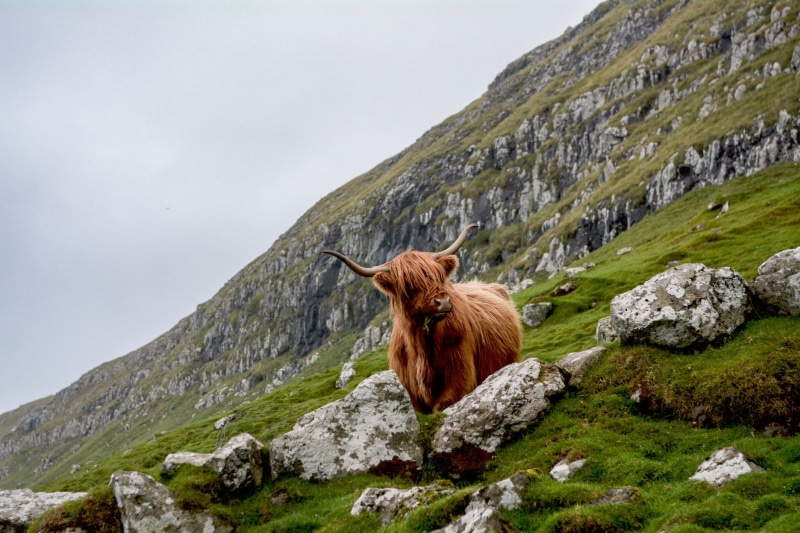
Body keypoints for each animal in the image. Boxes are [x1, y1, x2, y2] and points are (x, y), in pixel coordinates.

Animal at [324, 223, 522, 413]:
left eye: (439, 276)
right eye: (409, 285)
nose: (443, 302)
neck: (422, 350)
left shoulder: (460, 375)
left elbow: (443, 404)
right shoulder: (408, 389)